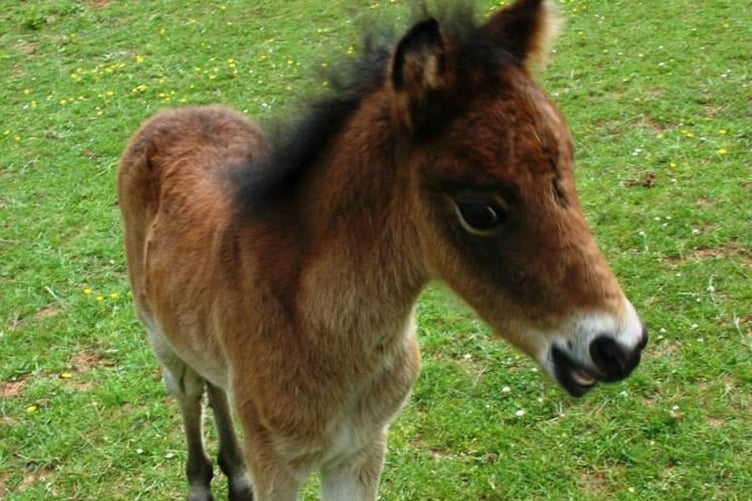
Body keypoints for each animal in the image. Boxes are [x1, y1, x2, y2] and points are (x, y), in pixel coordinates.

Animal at [117, 0, 647, 499]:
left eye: (569, 167)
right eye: (479, 211)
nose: (620, 347)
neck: (321, 335)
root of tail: (172, 113)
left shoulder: (362, 449)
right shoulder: (277, 462)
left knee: (214, 382)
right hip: (157, 333)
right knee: (187, 388)